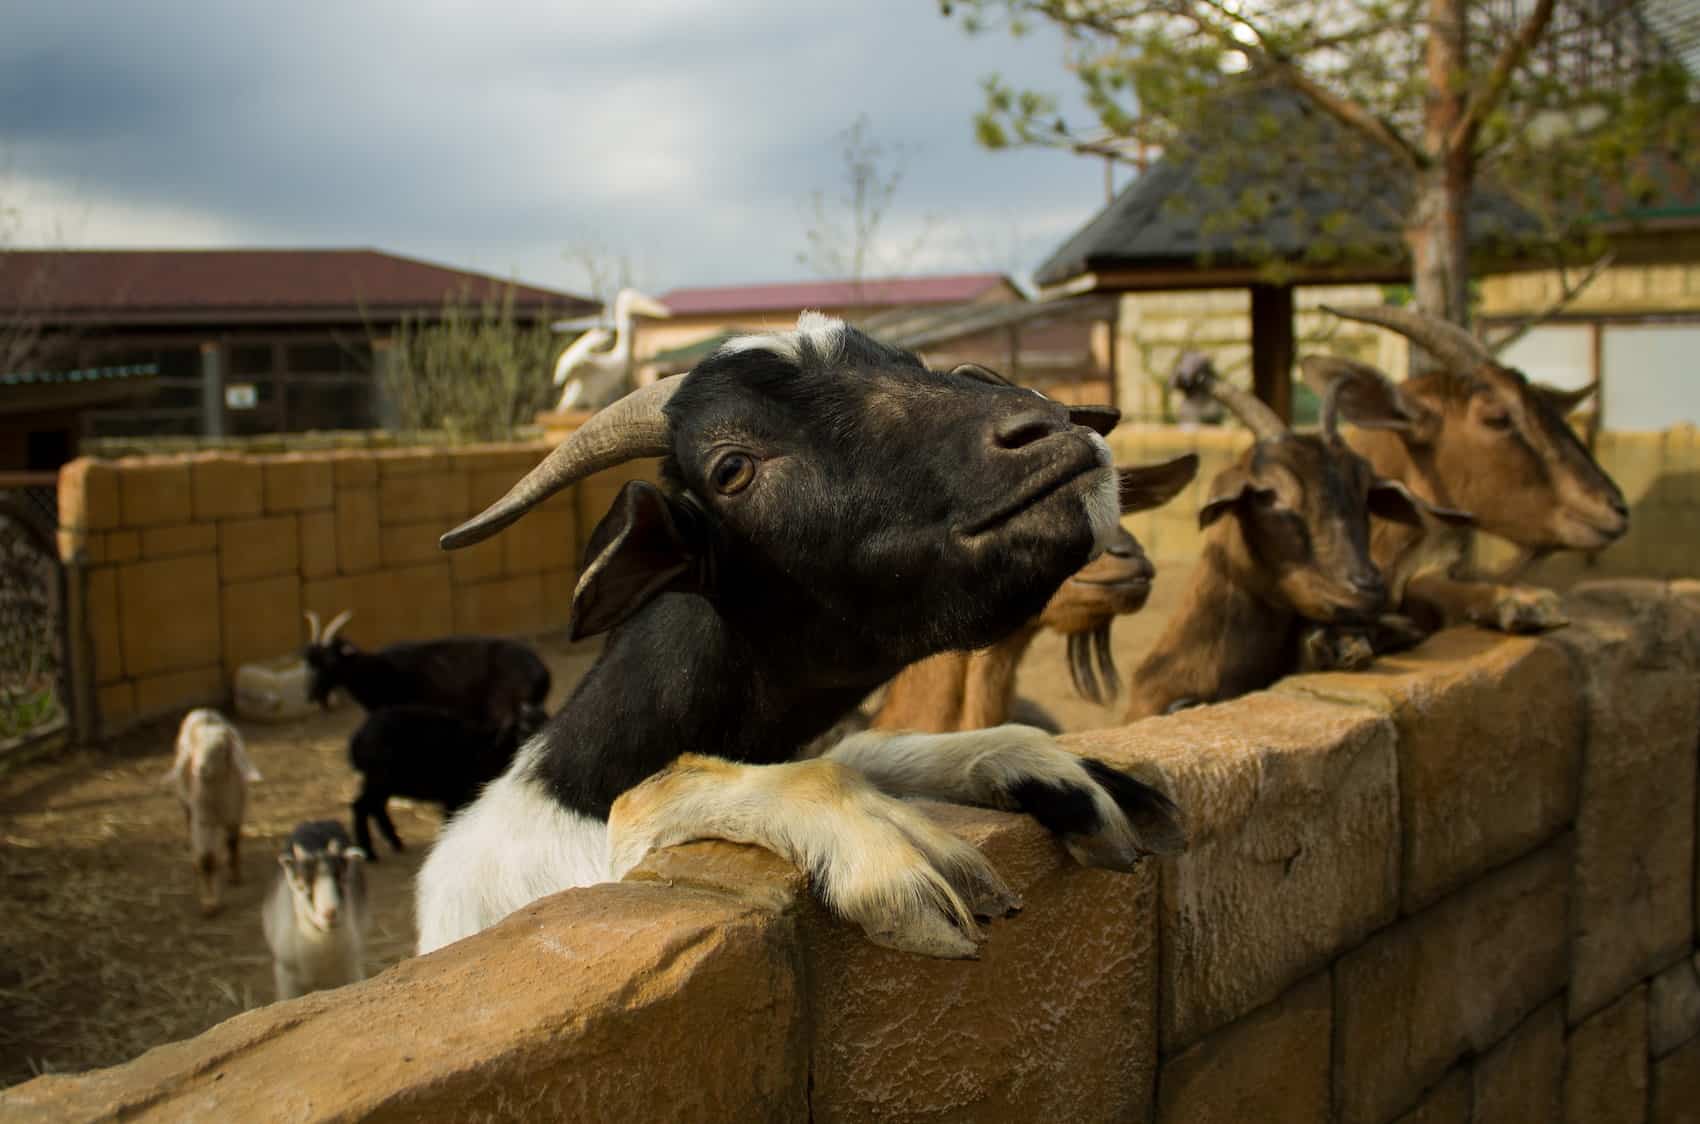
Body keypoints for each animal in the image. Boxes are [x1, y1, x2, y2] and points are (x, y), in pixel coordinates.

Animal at [299, 608, 550, 724]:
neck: (374, 670)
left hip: (503, 709)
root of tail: (541, 670)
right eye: (309, 661)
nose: (312, 696)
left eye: (330, 661)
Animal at [348, 700, 547, 860]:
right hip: (379, 777)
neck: (488, 748)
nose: (537, 747)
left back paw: (394, 842)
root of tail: (358, 737)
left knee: (376, 806)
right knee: (361, 806)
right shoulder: (457, 795)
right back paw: (369, 852)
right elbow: (452, 820)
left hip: (385, 782)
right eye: (522, 728)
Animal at [414, 312, 1183, 959]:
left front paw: (1054, 771)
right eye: (732, 469)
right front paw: (889, 851)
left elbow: (861, 745)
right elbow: (658, 798)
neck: (561, 794)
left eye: (913, 367)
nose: (1044, 429)